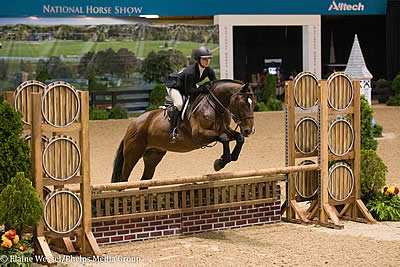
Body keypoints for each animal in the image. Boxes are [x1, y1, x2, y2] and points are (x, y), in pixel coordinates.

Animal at [111, 79, 256, 184]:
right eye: (242, 103)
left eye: (253, 103)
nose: (249, 130)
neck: (214, 106)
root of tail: (132, 124)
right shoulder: (199, 135)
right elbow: (224, 138)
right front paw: (220, 162)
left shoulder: (225, 130)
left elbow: (238, 138)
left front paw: (231, 157)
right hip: (133, 154)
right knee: (123, 179)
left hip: (153, 155)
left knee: (145, 181)